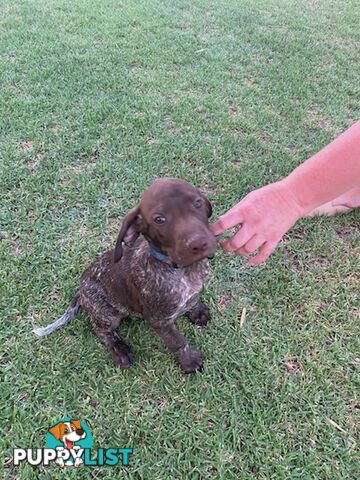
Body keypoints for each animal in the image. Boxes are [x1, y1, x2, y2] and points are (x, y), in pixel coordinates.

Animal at [35, 178, 217, 374]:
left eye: (197, 203)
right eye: (159, 219)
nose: (199, 243)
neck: (183, 271)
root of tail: (81, 291)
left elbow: (193, 300)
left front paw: (196, 311)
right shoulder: (159, 321)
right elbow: (177, 342)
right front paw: (189, 361)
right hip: (107, 314)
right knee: (101, 330)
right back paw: (120, 349)